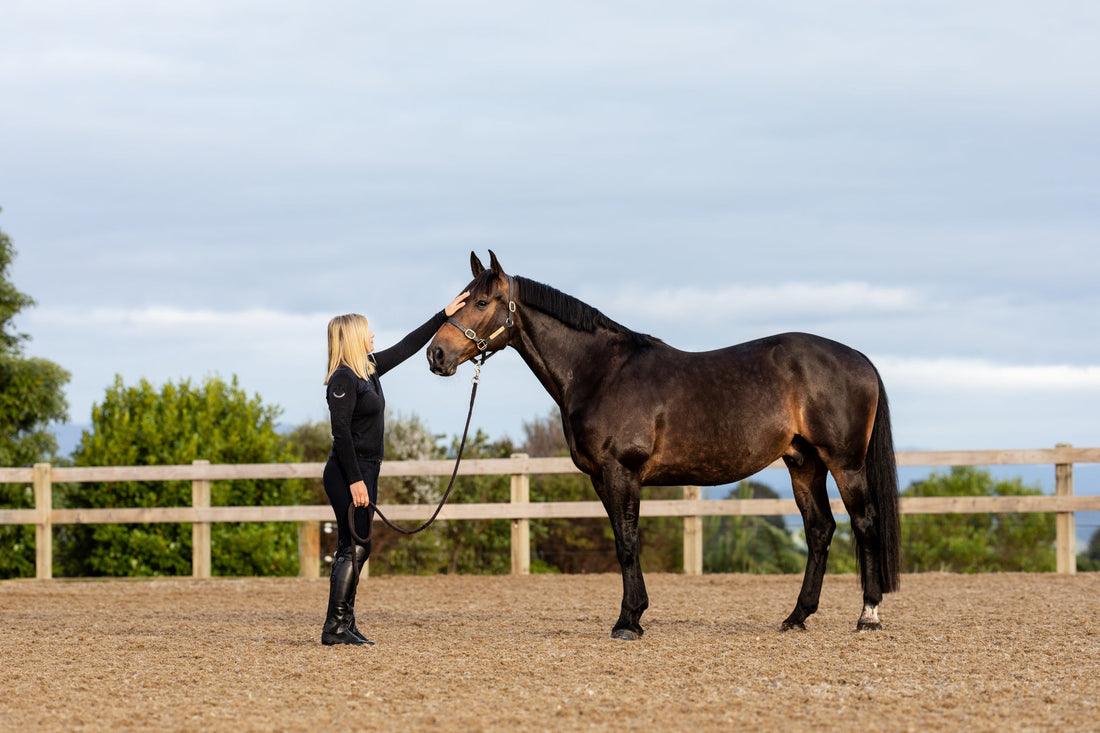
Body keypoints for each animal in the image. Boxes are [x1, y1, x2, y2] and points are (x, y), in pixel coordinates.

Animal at [427, 251, 901, 639]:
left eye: (482, 302)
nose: (436, 355)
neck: (601, 371)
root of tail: (860, 359)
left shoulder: (622, 471)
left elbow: (627, 543)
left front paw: (627, 622)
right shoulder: (602, 479)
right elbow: (623, 541)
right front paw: (634, 615)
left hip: (845, 463)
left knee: (864, 523)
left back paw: (868, 616)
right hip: (803, 462)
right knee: (820, 529)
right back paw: (796, 617)